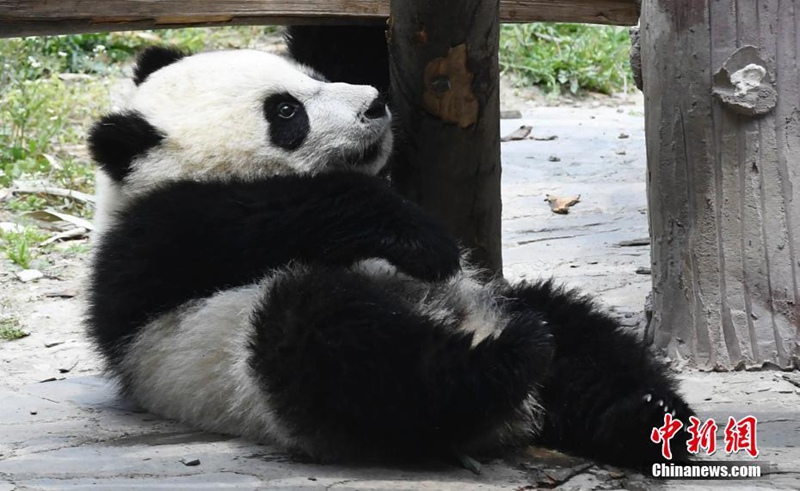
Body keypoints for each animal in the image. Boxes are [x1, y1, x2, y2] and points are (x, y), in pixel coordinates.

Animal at [86, 46, 693, 470]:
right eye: (285, 111)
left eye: (313, 75)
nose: (375, 102)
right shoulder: (151, 247)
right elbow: (263, 214)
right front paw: (425, 242)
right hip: (237, 350)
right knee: (342, 345)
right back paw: (505, 358)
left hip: (498, 297)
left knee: (580, 338)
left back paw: (647, 419)